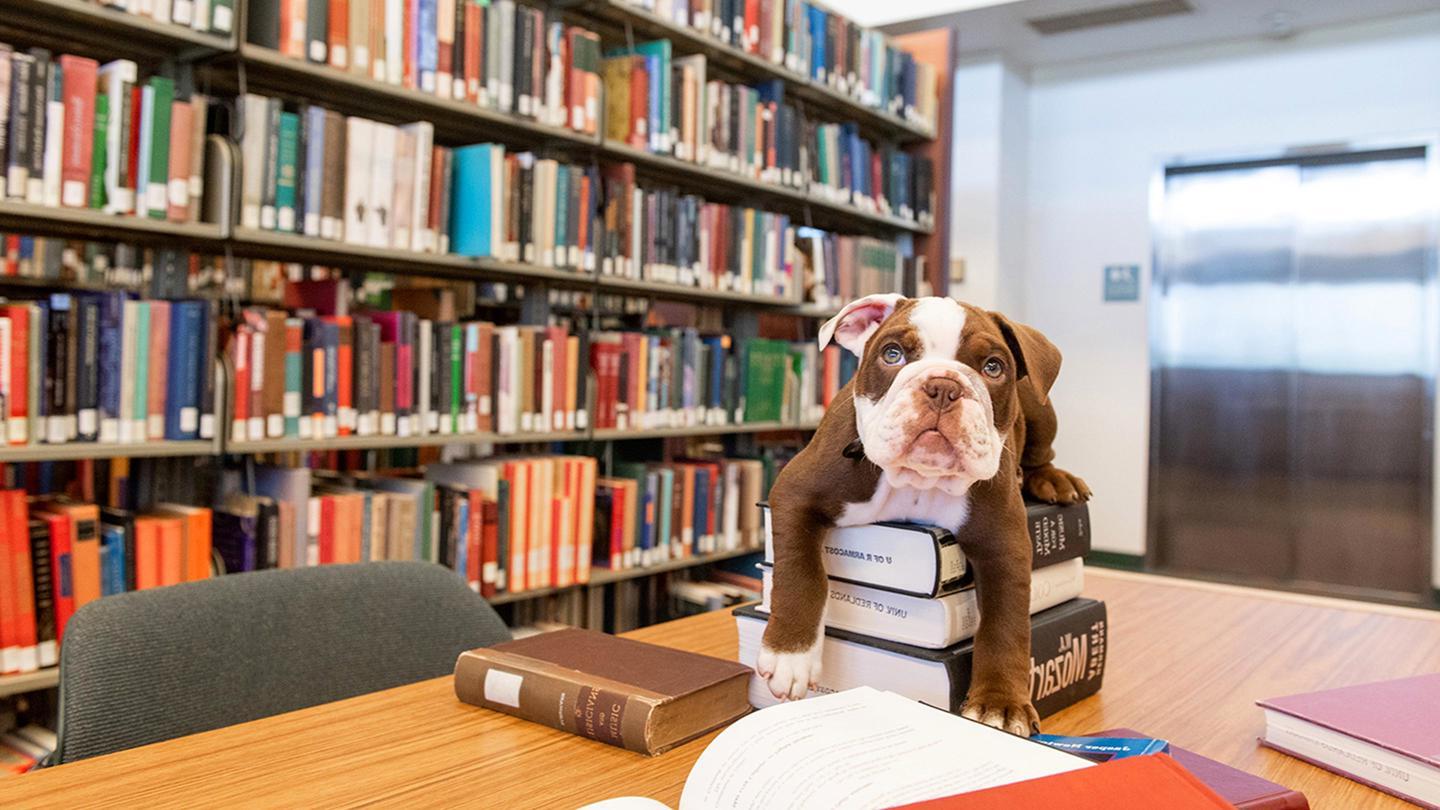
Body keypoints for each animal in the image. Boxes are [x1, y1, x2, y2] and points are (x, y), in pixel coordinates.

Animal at [760, 292, 1082, 735]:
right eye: (892, 354)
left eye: (993, 367)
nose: (943, 386)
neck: (917, 480)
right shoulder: (795, 493)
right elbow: (800, 572)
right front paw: (790, 656)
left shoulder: (1004, 544)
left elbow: (1006, 623)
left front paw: (1001, 704)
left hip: (1039, 407)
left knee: (1042, 454)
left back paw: (1054, 480)